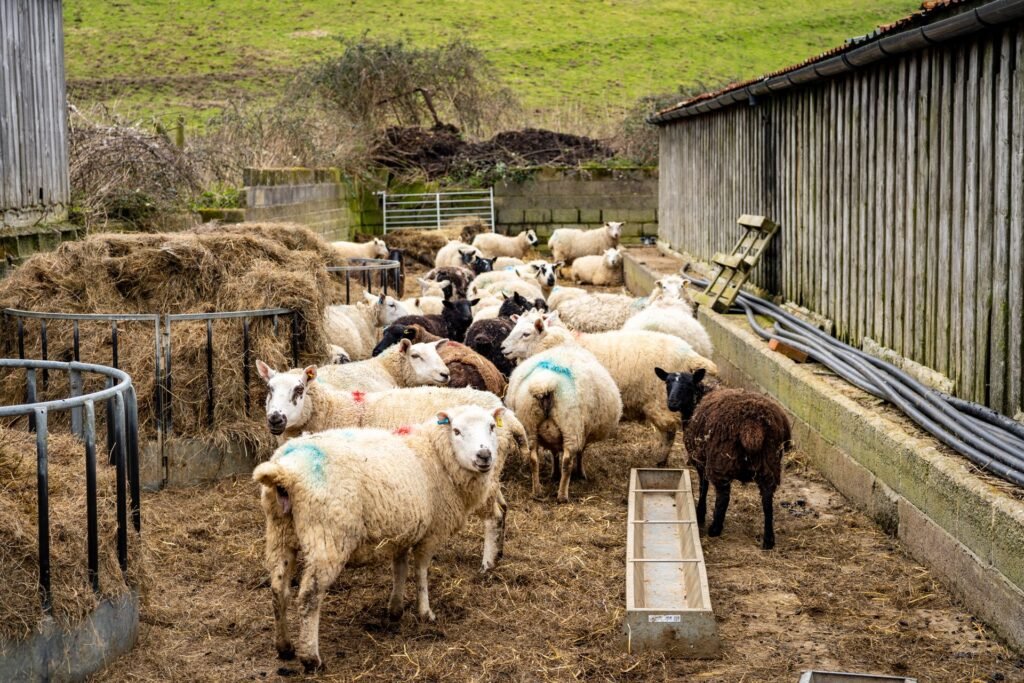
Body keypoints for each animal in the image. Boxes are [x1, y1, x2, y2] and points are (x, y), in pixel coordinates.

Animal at [254, 405, 509, 670]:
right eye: (457, 431)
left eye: (492, 426)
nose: (484, 455)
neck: (435, 453)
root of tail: (285, 472)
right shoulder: (431, 533)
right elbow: (421, 571)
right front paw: (425, 612)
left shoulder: (402, 531)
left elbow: (400, 568)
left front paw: (395, 609)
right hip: (326, 538)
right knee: (308, 597)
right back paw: (311, 658)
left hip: (279, 533)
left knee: (278, 590)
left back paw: (284, 647)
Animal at [502, 310, 717, 465]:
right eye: (514, 327)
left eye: (526, 334)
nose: (503, 348)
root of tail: (689, 354)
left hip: (661, 402)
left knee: (669, 432)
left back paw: (660, 460)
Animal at [506, 344, 621, 502]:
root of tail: (545, 384)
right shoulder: (581, 433)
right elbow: (580, 453)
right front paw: (580, 473)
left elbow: (554, 453)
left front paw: (554, 474)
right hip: (570, 426)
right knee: (567, 461)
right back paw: (562, 495)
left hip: (529, 425)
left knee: (533, 458)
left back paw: (537, 491)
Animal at [657, 369, 792, 550]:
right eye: (668, 382)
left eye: (689, 384)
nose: (672, 403)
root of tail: (752, 426)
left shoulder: (700, 459)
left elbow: (703, 486)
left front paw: (700, 514)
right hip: (769, 461)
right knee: (767, 498)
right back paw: (768, 540)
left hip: (720, 461)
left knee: (723, 496)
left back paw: (715, 529)